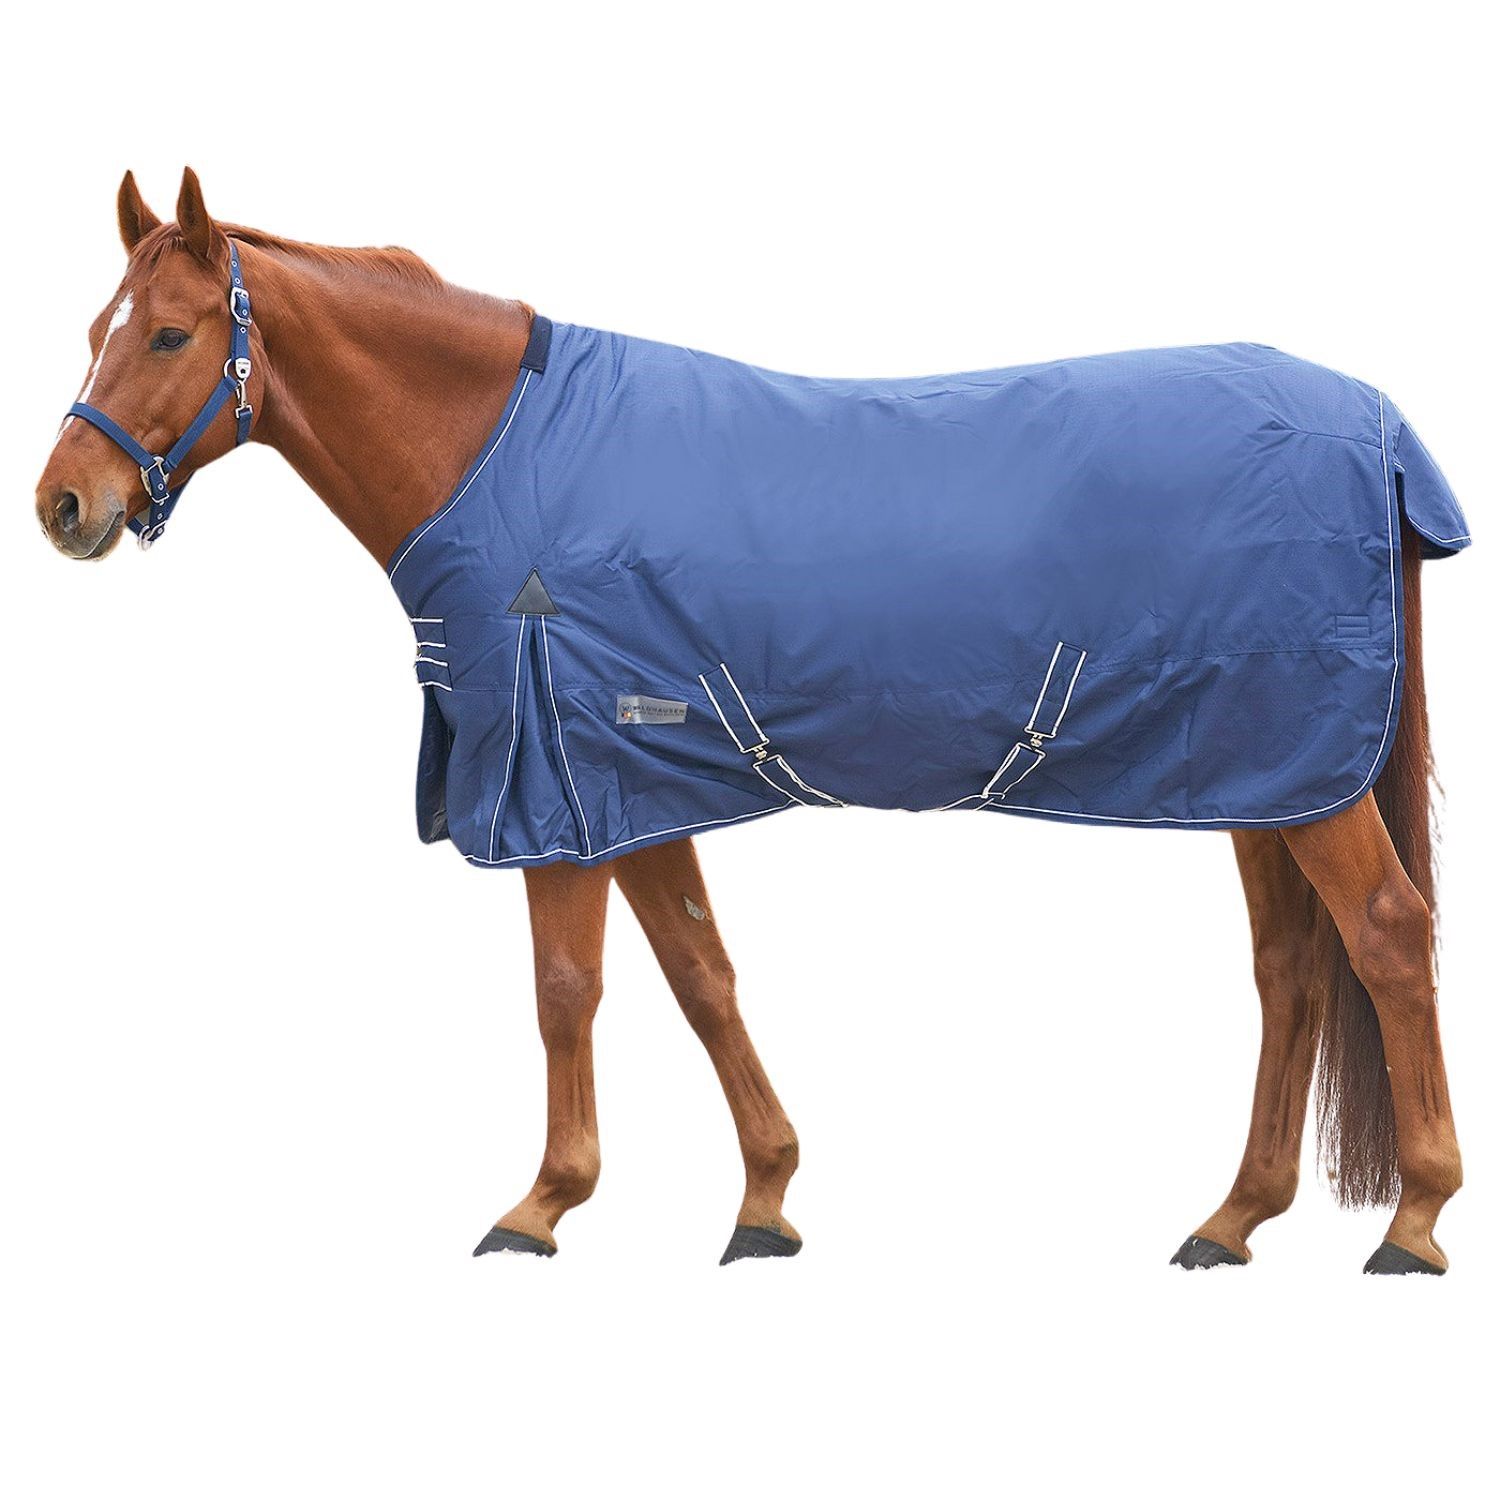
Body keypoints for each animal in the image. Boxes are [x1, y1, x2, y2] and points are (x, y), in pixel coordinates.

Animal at [34, 168, 1467, 1273]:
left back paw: (1414, 1221)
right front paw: (766, 1199)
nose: (62, 504)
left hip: (1307, 779)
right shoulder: (630, 783)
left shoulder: (557, 786)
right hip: (1258, 775)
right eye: (100, 322)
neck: (502, 458)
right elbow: (700, 976)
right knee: (1290, 969)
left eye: (168, 336)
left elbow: (568, 991)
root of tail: (1380, 430)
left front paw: (542, 1206)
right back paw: (1232, 1221)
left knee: (1387, 938)